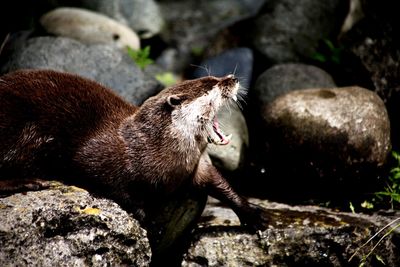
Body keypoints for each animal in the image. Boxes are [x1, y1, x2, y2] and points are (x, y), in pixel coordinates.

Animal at [0, 68, 268, 230]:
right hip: (15, 124)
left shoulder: (197, 167)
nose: (233, 78)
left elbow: (221, 183)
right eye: (211, 85)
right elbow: (113, 185)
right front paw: (149, 220)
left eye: (216, 78)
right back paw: (27, 181)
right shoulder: (99, 157)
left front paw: (252, 214)